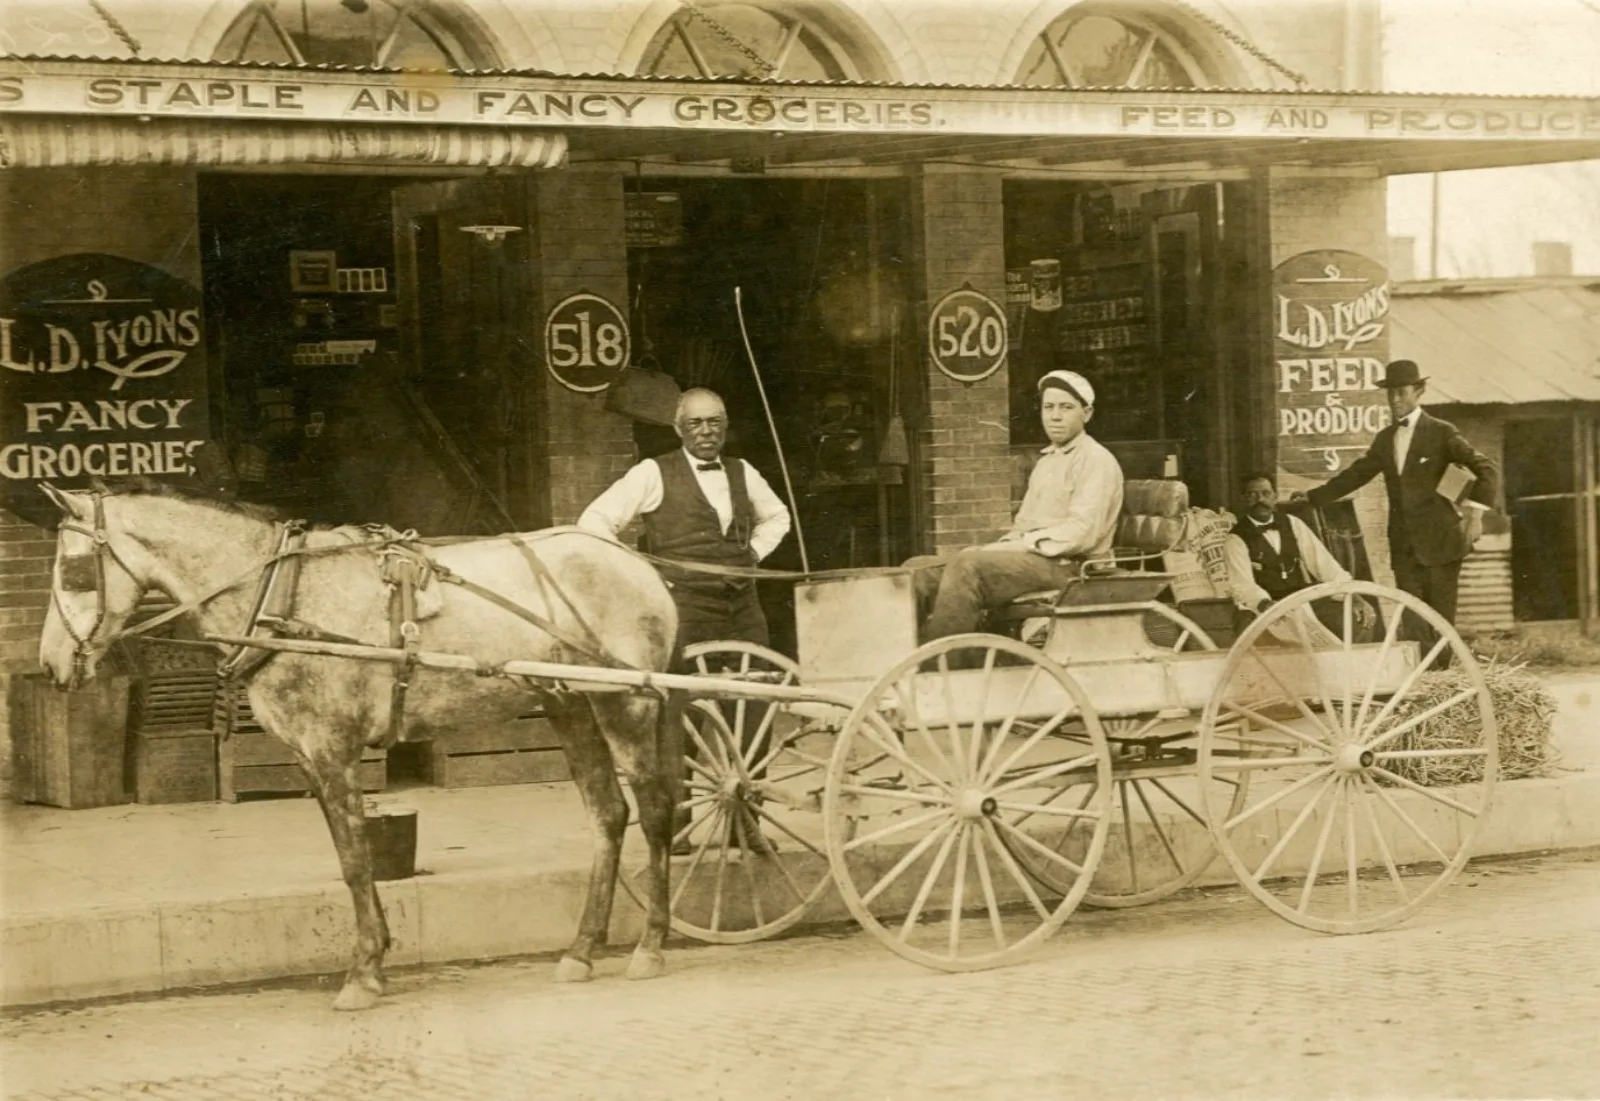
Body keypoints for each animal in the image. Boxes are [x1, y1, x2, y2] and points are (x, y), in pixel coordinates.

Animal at [32, 476, 681, 1011]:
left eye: (74, 572)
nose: (51, 663)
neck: (281, 596)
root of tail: (635, 562)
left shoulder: (332, 749)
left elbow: (352, 858)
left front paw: (364, 972)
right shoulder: (309, 757)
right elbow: (353, 856)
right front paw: (376, 957)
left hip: (626, 703)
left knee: (654, 811)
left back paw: (651, 946)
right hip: (571, 704)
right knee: (608, 813)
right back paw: (581, 950)